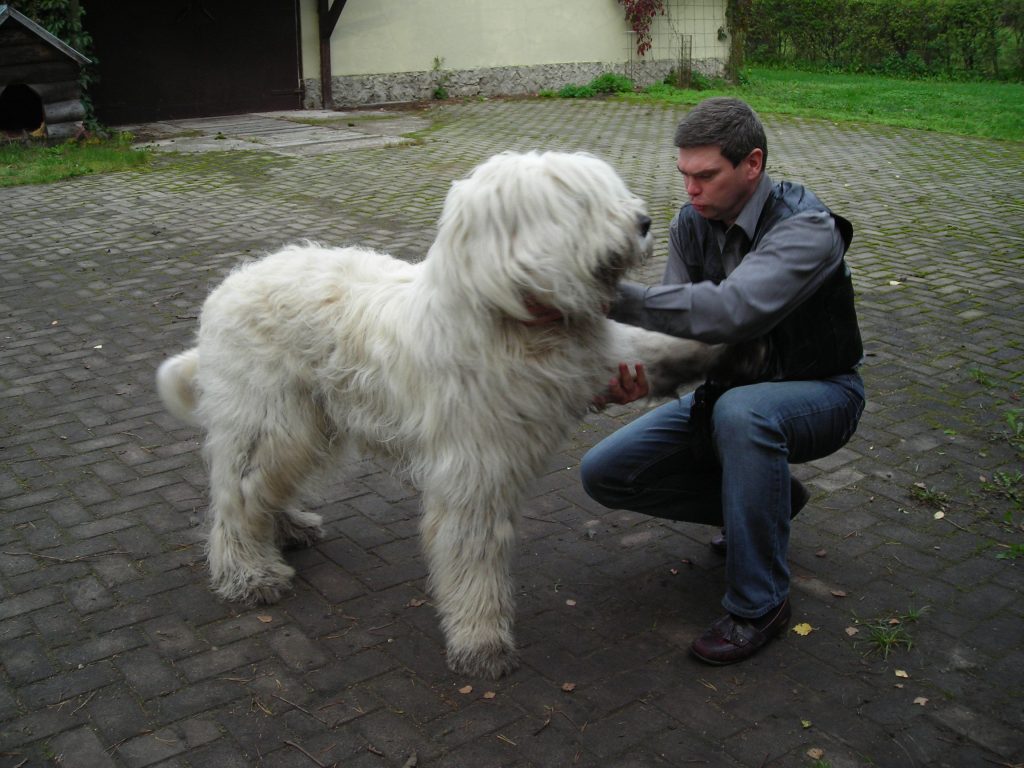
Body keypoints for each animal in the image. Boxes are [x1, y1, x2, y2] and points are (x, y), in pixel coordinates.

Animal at [155, 151, 724, 679]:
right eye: (581, 204)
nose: (644, 222)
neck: (510, 319)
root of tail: (225, 291)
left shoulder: (592, 357)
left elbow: (649, 346)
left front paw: (716, 347)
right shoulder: (474, 467)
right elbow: (473, 553)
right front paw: (480, 640)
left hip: (307, 424)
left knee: (261, 487)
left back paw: (288, 526)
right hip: (272, 419)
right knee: (239, 494)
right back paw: (247, 574)